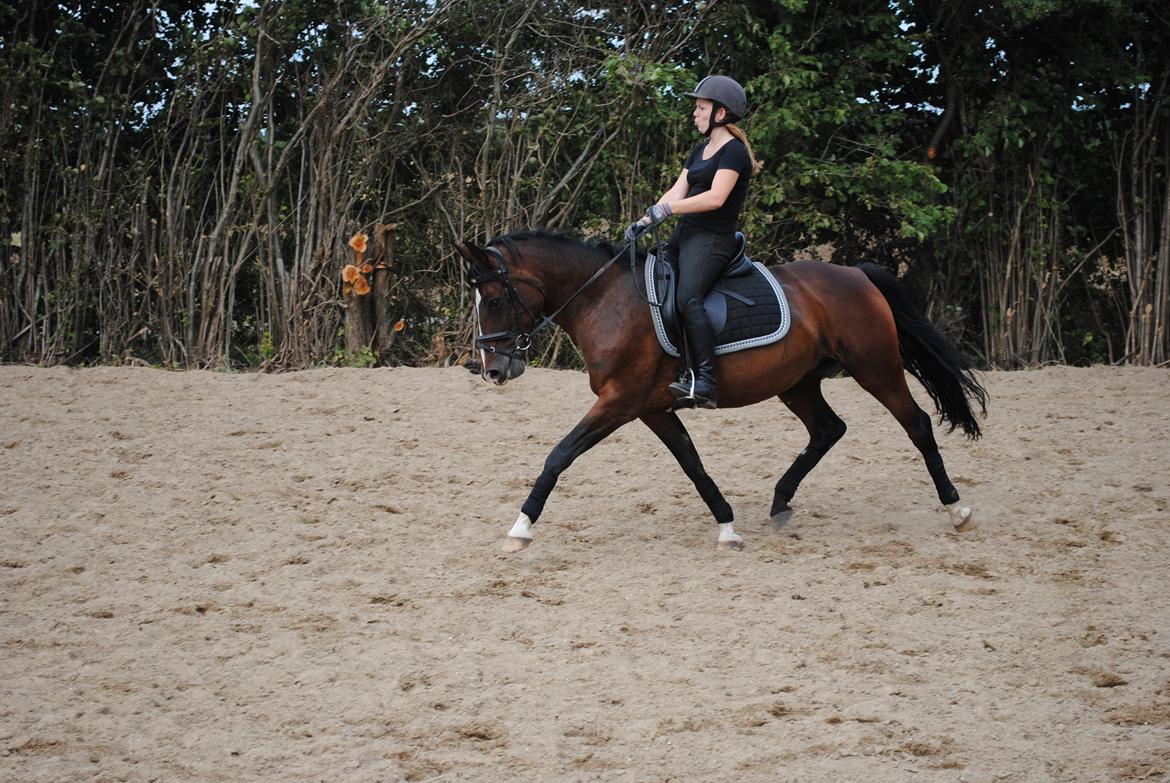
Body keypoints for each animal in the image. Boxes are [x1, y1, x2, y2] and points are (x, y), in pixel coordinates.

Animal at [456, 229, 987, 552]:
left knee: (916, 424)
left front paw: (520, 528)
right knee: (828, 429)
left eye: (496, 299)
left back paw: (958, 509)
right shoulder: (651, 408)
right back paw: (781, 502)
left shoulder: (619, 401)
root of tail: (855, 273)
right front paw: (727, 526)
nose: (491, 369)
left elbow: (559, 454)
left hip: (874, 367)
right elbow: (692, 464)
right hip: (797, 383)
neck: (605, 300)